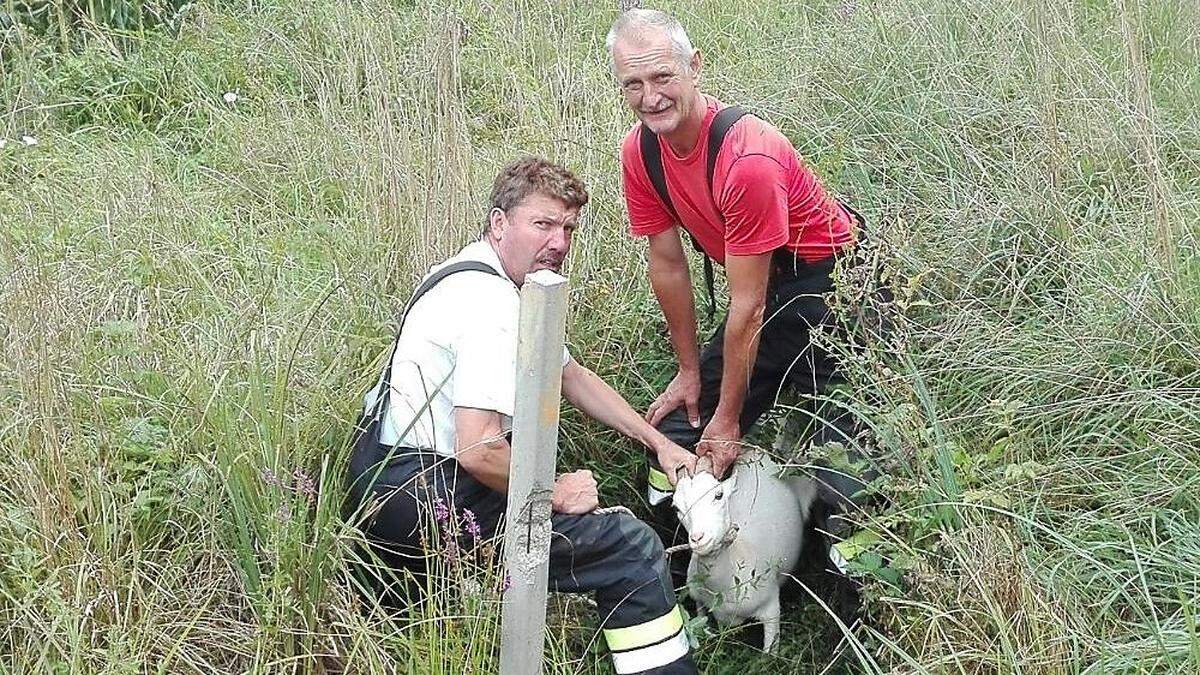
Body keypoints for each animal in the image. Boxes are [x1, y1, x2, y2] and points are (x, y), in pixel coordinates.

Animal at [672, 449, 820, 648]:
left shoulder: (771, 608)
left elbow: (769, 652)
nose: (698, 538)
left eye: (718, 495)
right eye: (677, 507)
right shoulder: (699, 601)